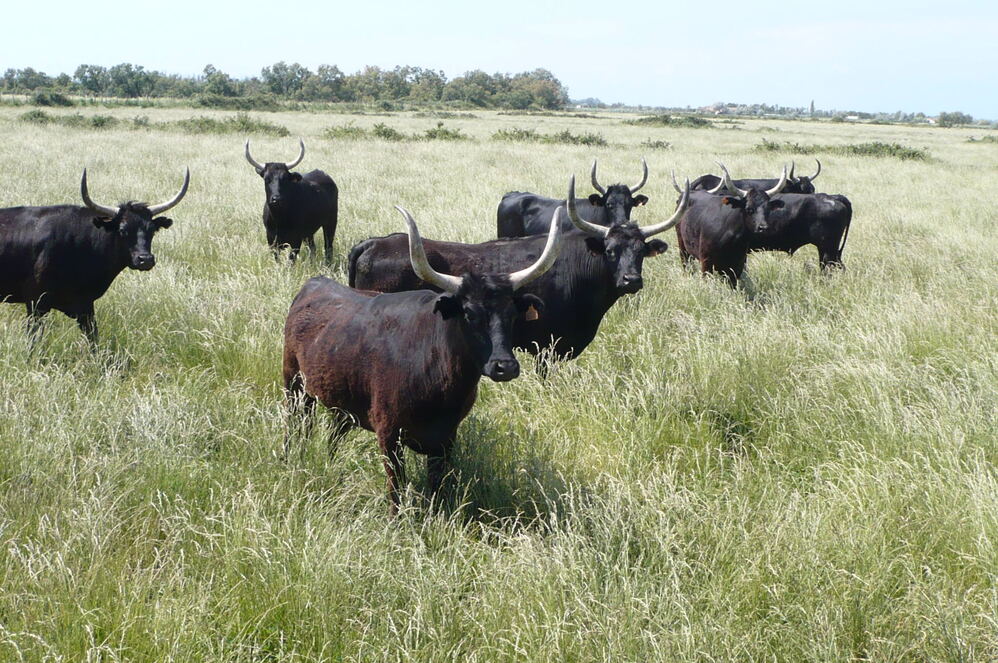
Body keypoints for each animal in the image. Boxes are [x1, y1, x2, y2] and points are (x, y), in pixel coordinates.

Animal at [0, 169, 189, 342]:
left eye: (152, 230)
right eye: (122, 230)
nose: (145, 260)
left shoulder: (85, 305)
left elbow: (93, 339)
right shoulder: (35, 302)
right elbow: (33, 340)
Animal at [284, 206, 564, 512]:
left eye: (512, 315)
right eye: (469, 313)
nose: (505, 366)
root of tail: (315, 283)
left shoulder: (446, 437)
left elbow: (437, 486)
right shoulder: (388, 433)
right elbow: (396, 487)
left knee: (334, 433)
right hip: (294, 385)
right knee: (296, 425)